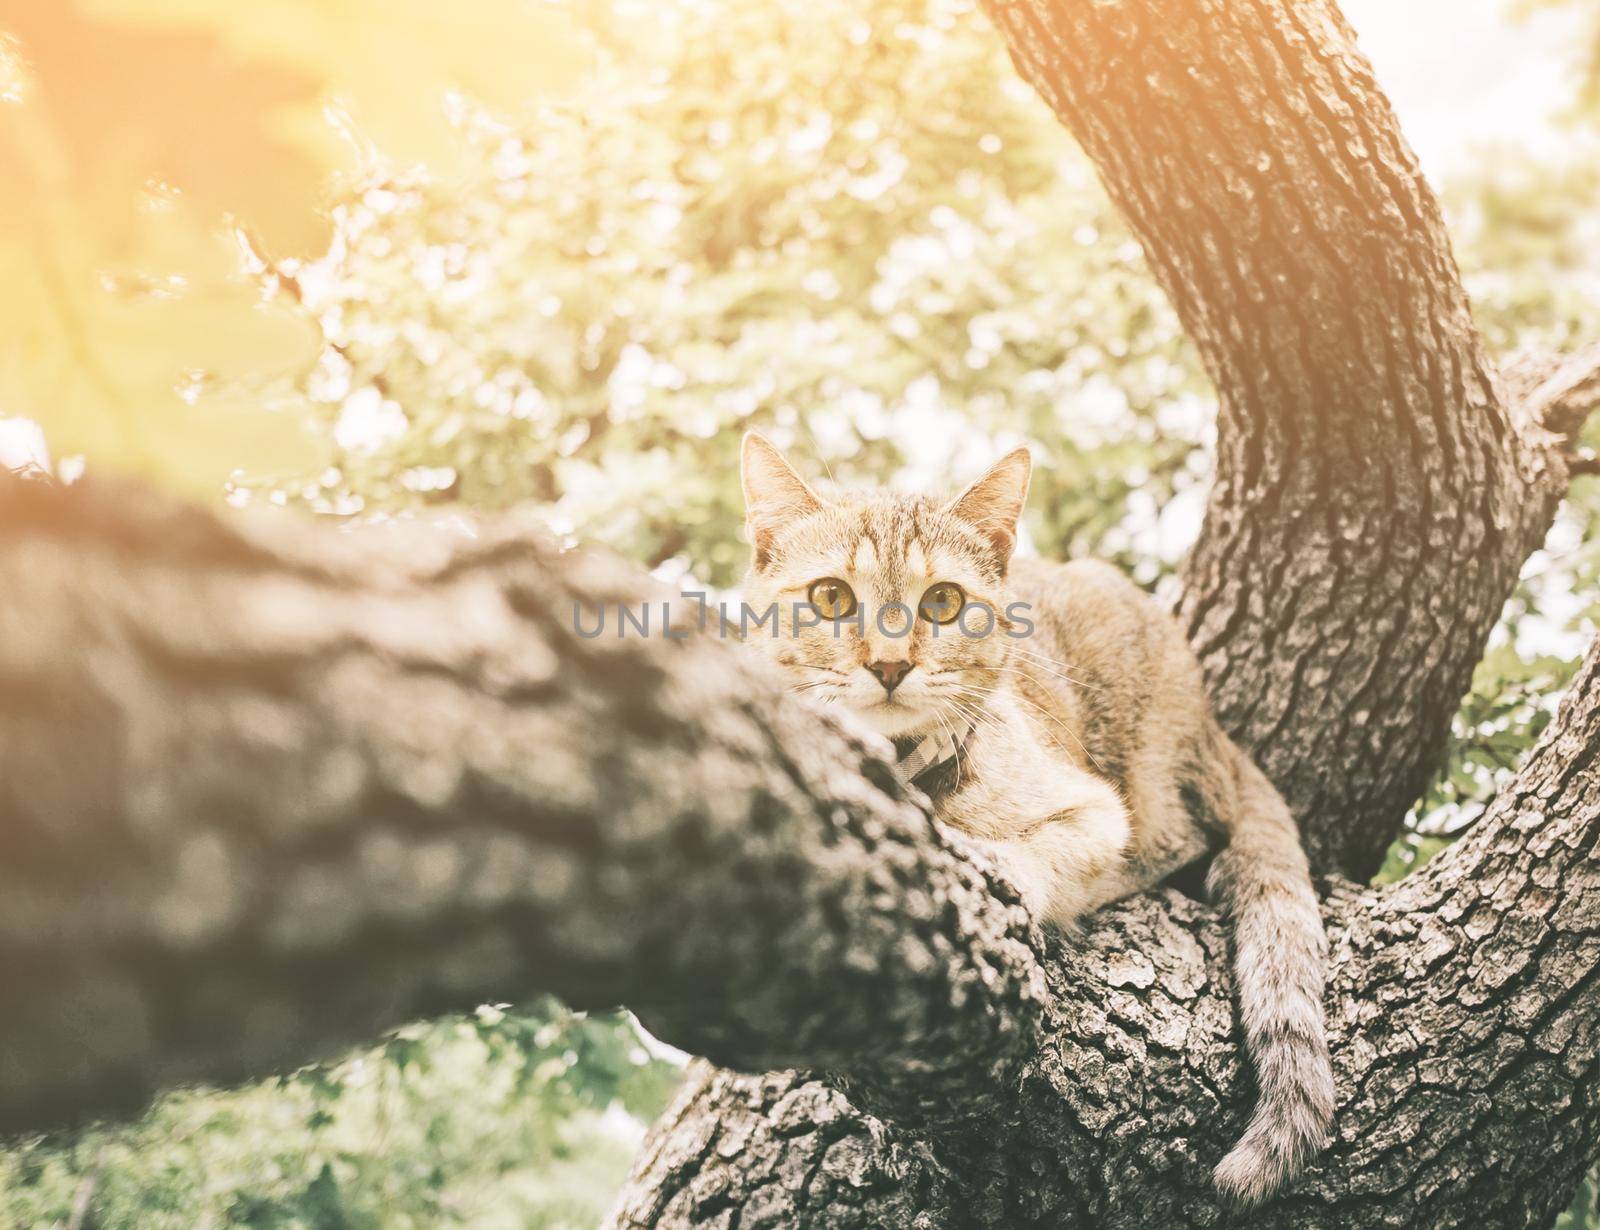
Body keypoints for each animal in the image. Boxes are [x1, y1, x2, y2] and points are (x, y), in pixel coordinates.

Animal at [739, 431, 1337, 1202]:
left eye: (942, 602)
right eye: (830, 597)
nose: (890, 665)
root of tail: (1211, 722)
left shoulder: (1095, 810)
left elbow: (1034, 853)